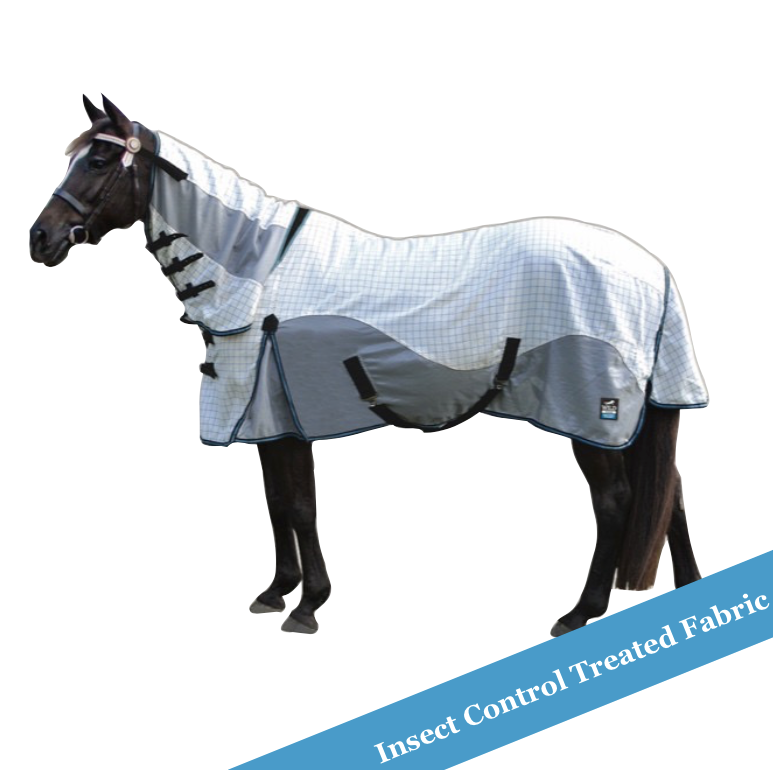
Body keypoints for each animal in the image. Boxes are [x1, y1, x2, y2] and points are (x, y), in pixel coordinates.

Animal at [29, 95, 707, 635]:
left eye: (96, 163)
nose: (40, 239)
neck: (257, 273)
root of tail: (655, 270)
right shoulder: (265, 419)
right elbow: (276, 501)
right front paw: (276, 592)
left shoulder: (285, 415)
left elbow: (300, 505)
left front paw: (309, 605)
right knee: (667, 494)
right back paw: (687, 591)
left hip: (593, 419)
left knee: (616, 503)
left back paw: (579, 611)